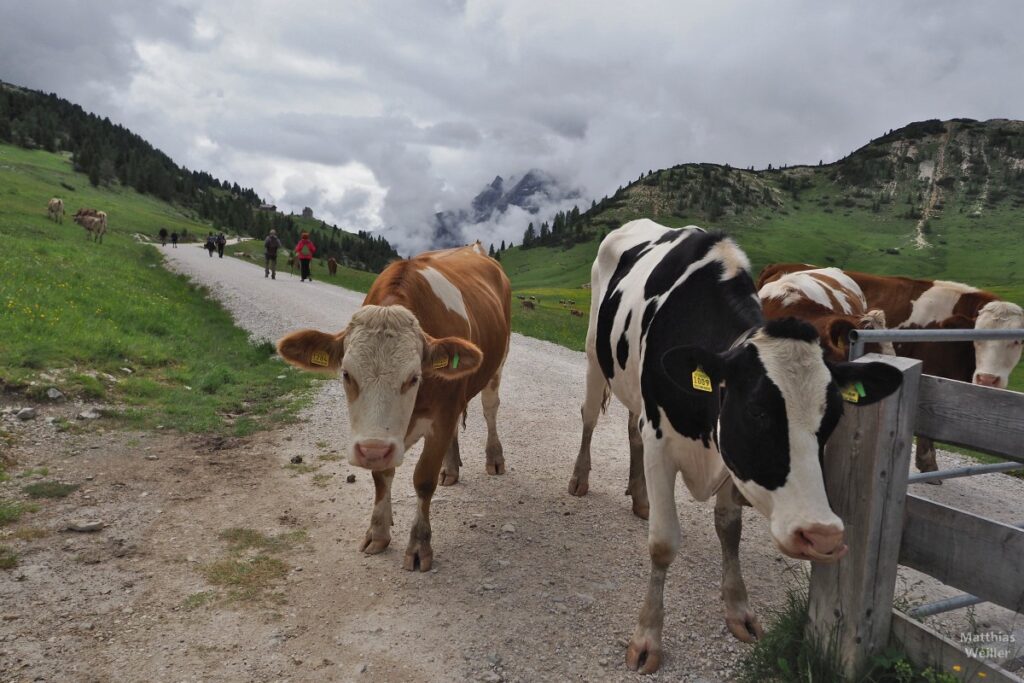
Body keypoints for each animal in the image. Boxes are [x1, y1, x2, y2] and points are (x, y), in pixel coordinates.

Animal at [276, 244, 512, 573]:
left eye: (414, 377)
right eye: (346, 374)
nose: (372, 450)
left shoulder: (441, 415)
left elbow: (423, 480)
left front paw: (419, 544)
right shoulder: (382, 437)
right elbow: (381, 475)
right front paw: (377, 532)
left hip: (498, 365)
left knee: (491, 410)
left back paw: (494, 458)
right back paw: (450, 469)